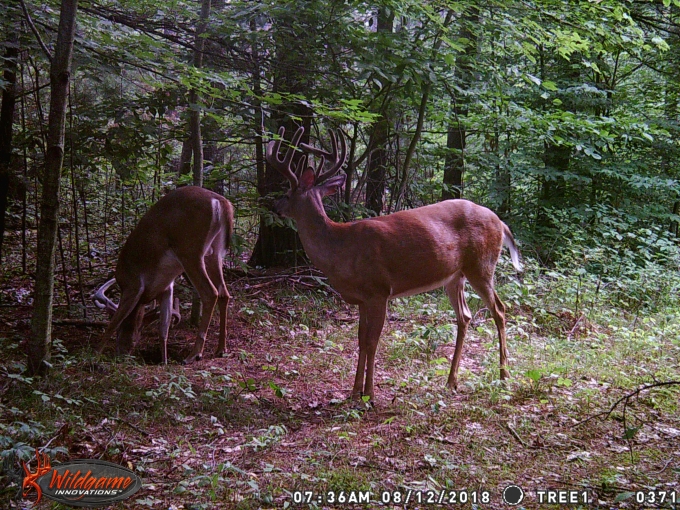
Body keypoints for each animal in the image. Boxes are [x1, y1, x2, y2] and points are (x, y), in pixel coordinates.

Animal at [93, 185, 234, 364]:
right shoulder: (167, 288)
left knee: (210, 293)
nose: (123, 352)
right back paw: (221, 349)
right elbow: (163, 330)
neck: (145, 297)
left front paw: (94, 355)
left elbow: (113, 322)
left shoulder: (133, 284)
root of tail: (220, 202)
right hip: (215, 252)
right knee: (224, 293)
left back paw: (195, 354)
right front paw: (164, 362)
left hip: (190, 251)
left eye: (138, 329)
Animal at [266, 126, 520, 398]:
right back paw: (451, 381)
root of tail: (501, 223)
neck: (340, 248)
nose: (274, 206)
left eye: (287, 193)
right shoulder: (362, 298)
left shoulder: (379, 290)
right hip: (455, 276)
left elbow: (372, 341)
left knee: (499, 310)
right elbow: (360, 339)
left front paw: (369, 394)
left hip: (481, 266)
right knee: (465, 316)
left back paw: (504, 375)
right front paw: (354, 391)